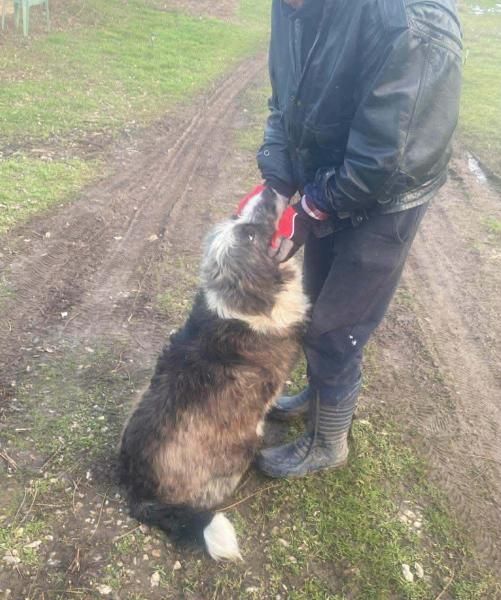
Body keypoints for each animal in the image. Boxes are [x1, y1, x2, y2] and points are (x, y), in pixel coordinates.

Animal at [119, 187, 309, 560]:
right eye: (248, 234)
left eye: (240, 220)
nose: (270, 189)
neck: (240, 304)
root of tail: (139, 491)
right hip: (242, 446)